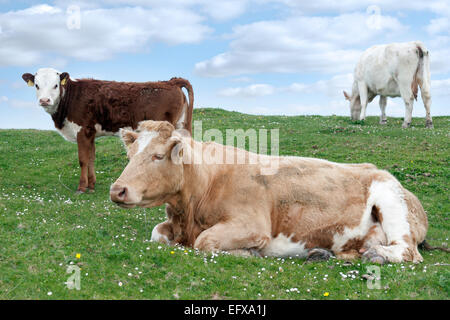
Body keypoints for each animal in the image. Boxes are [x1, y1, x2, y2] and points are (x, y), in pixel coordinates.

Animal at [22, 68, 193, 192]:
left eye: (55, 85)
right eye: (37, 85)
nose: (44, 100)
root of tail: (171, 82)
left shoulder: (82, 131)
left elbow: (83, 159)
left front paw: (81, 187)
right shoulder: (90, 133)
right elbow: (91, 158)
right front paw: (91, 185)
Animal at [110, 121, 428, 264]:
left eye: (158, 156)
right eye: (130, 154)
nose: (117, 190)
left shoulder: (252, 225)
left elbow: (205, 241)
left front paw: (248, 253)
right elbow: (157, 233)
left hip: (391, 201)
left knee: (407, 251)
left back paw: (375, 255)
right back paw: (324, 252)